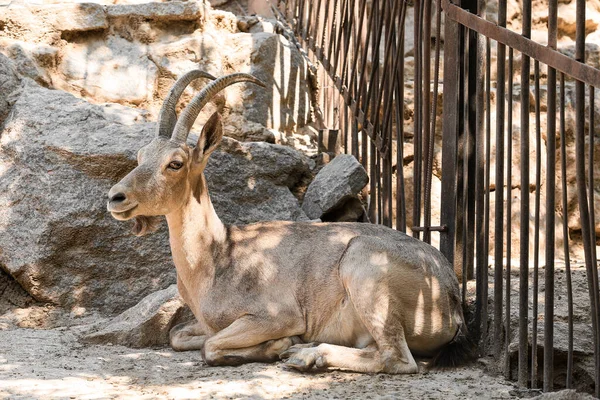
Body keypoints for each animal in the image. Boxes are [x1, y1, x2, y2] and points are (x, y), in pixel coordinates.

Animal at [106, 70, 474, 374]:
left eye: (176, 163)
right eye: (141, 156)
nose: (116, 197)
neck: (217, 257)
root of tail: (453, 301)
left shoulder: (276, 315)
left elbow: (210, 347)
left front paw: (279, 345)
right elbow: (178, 335)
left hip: (365, 270)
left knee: (398, 359)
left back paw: (306, 356)